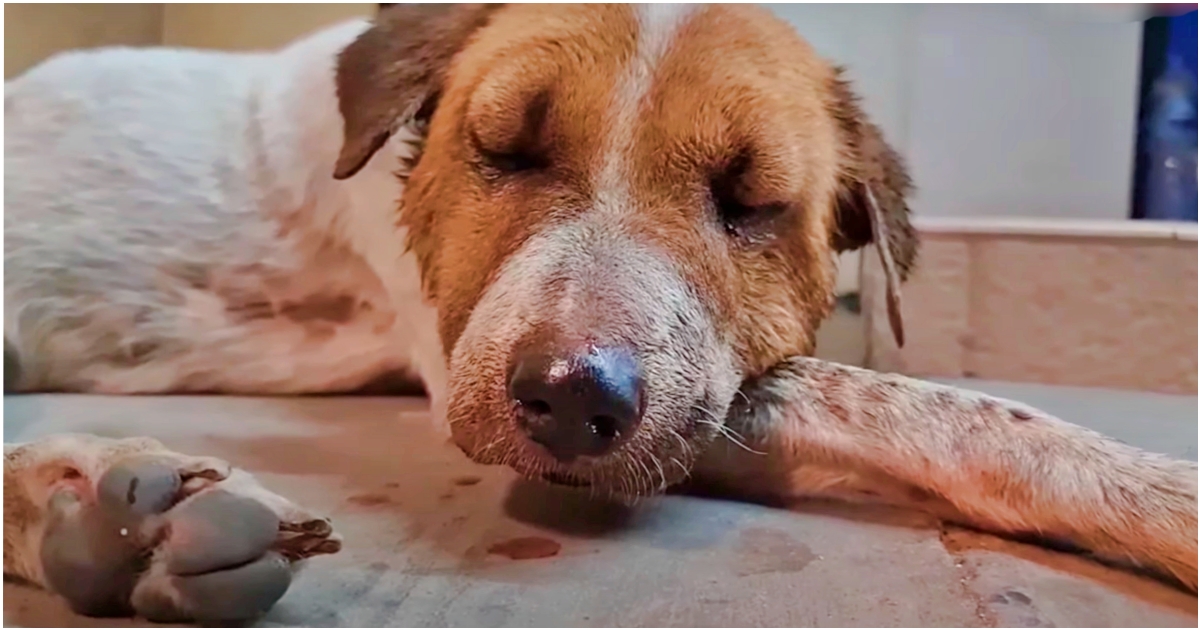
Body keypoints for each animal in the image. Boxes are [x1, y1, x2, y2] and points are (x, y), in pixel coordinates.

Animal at [5, 4, 1196, 619]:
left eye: (750, 201)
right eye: (503, 148)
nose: (573, 399)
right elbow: (949, 410)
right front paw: (1162, 497)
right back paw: (114, 501)